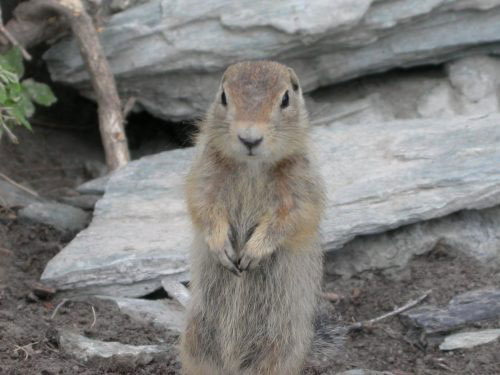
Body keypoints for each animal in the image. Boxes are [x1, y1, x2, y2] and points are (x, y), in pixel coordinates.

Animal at [182, 61, 326, 375]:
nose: (250, 138)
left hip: (279, 347)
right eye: (224, 96)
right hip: (196, 339)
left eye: (285, 99)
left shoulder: (301, 181)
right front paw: (221, 246)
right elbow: (202, 203)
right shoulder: (205, 170)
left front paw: (252, 253)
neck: (252, 167)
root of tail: (233, 365)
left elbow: (293, 216)